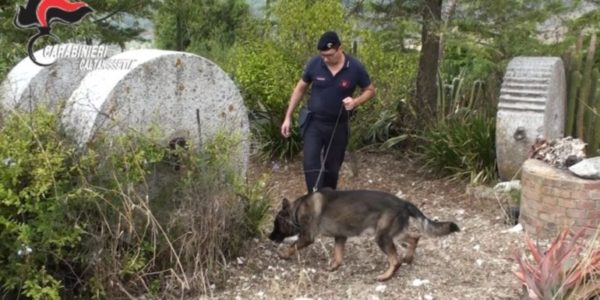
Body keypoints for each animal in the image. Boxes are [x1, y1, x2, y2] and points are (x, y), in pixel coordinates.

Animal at [268, 189, 460, 280]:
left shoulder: (307, 237)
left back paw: (386, 276)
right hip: (393, 234)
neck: (296, 210)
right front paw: (333, 267)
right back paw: (408, 258)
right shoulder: (340, 237)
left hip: (382, 237)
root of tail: (403, 202)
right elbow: (338, 256)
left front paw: (283, 254)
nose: (269, 237)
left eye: (276, 224)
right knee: (414, 238)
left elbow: (292, 246)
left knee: (395, 260)